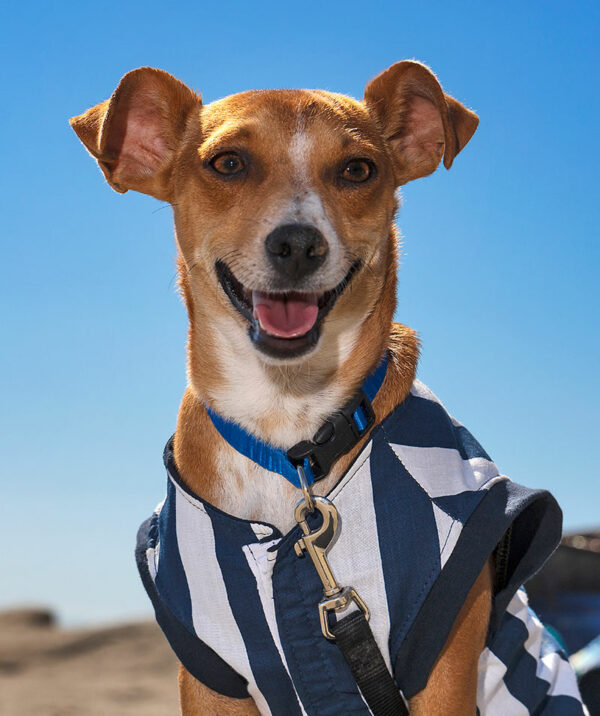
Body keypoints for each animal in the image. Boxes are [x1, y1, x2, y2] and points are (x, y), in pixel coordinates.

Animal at [71, 63, 584, 716]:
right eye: (228, 163)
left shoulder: (442, 654)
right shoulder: (210, 674)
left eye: (357, 170)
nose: (297, 244)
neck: (288, 426)